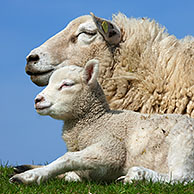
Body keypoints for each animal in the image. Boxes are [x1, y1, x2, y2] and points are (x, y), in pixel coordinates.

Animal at [9, 59, 194, 185]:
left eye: (67, 84)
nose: (37, 100)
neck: (98, 121)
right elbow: (72, 174)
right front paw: (26, 169)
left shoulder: (111, 150)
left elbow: (68, 158)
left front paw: (28, 177)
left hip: (182, 145)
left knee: (181, 178)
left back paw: (137, 174)